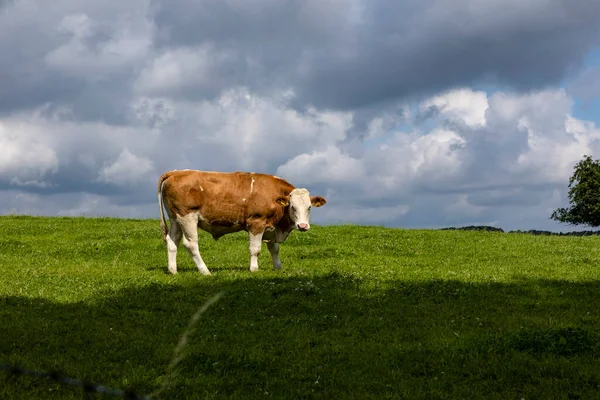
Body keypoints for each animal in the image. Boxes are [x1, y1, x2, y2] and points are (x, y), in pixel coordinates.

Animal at [157, 169, 326, 276]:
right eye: (292, 207)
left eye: (309, 207)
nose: (302, 226)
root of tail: (176, 172)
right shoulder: (256, 223)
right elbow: (255, 249)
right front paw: (254, 269)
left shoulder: (270, 227)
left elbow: (274, 249)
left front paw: (278, 267)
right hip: (188, 218)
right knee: (191, 244)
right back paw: (205, 271)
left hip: (175, 219)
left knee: (172, 242)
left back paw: (173, 270)